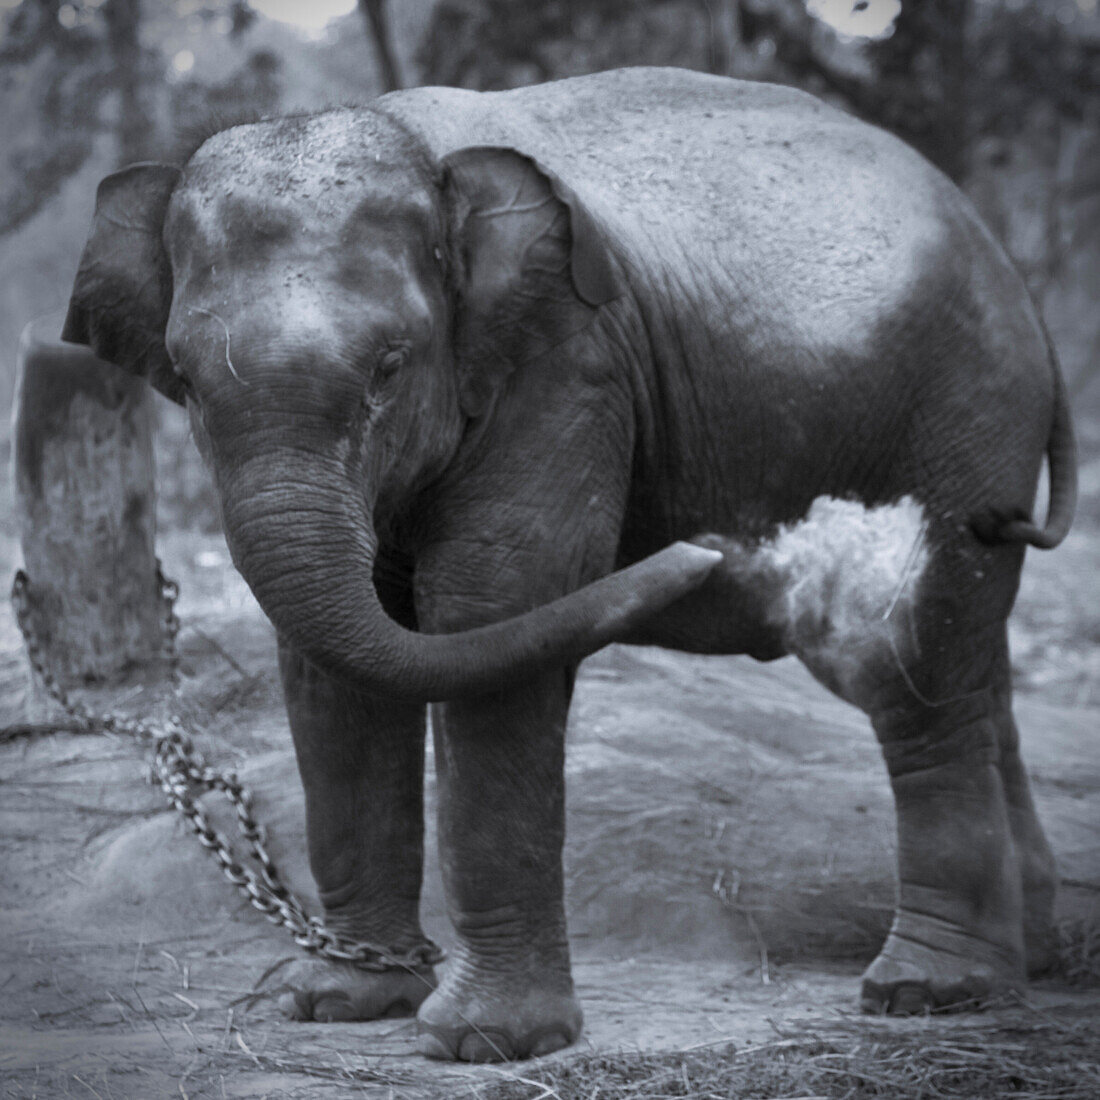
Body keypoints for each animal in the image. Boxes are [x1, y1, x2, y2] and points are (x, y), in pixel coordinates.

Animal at [62, 68, 1073, 1064]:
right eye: (188, 383)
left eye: (390, 366)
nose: (708, 549)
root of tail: (1013, 275)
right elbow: (334, 665)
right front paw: (339, 1004)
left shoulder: (568, 364)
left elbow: (489, 603)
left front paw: (486, 1042)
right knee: (980, 673)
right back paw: (1031, 962)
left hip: (964, 416)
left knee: (928, 658)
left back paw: (928, 991)